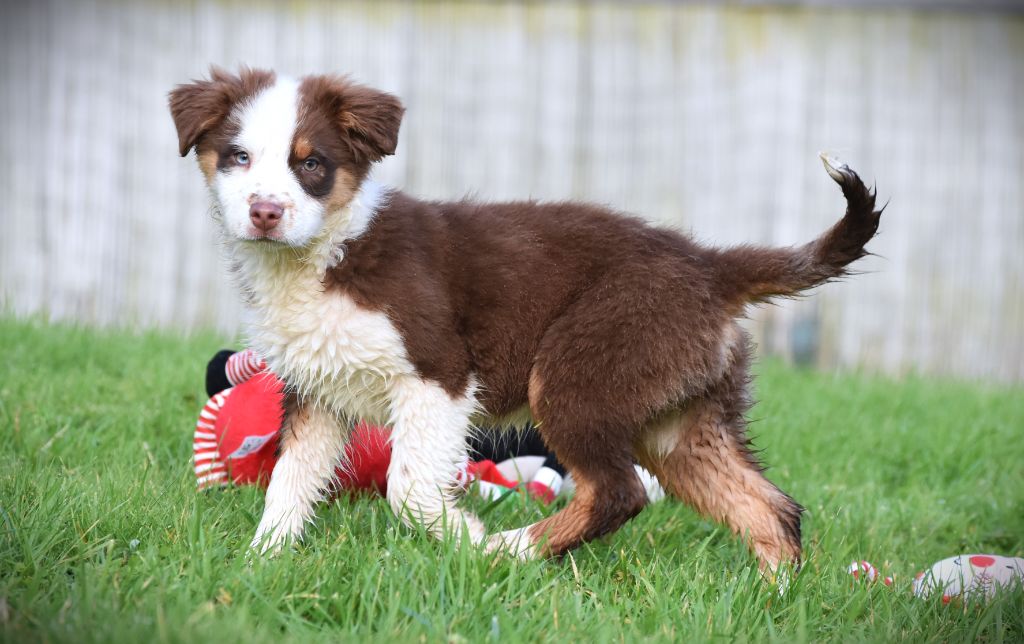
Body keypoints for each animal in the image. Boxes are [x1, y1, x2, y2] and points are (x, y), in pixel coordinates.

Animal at [167, 66, 880, 569]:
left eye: (311, 163)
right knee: (772, 509)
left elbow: (408, 487)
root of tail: (710, 265)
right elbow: (289, 483)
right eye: (238, 157)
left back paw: (513, 550)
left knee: (620, 492)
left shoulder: (439, 372)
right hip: (681, 421)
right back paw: (774, 602)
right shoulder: (317, 391)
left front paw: (465, 540)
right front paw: (262, 564)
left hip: (577, 374)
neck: (326, 254)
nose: (264, 212)